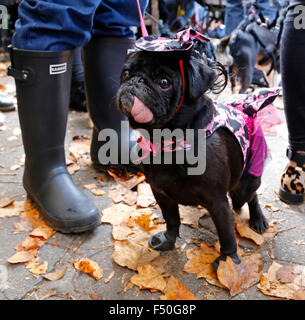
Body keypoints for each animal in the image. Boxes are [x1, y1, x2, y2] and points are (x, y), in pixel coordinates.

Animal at [115, 43, 268, 268]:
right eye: (126, 73)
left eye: (164, 83)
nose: (136, 80)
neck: (167, 140)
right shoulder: (160, 193)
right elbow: (172, 220)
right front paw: (168, 241)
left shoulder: (218, 202)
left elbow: (226, 235)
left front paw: (228, 263)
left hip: (246, 182)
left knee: (251, 195)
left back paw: (258, 219)